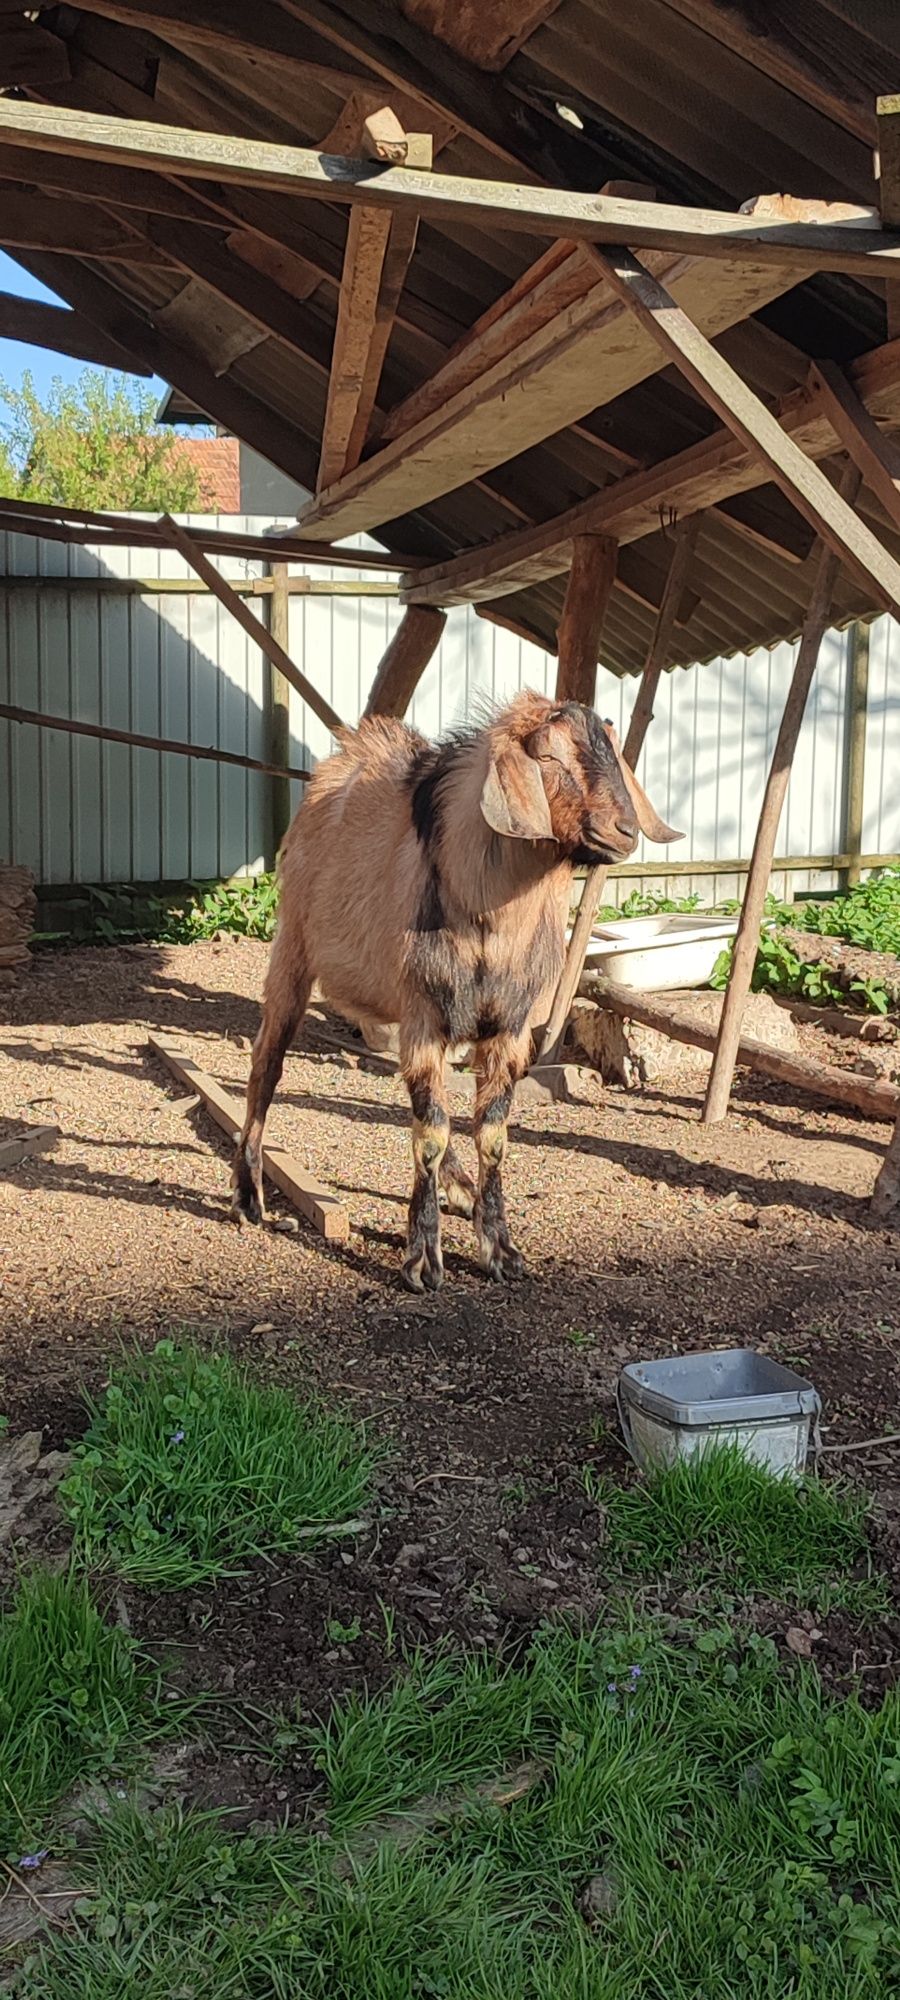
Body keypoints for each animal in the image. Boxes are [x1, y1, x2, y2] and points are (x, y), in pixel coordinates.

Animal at [229, 688, 680, 1288]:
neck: (488, 921)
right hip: (292, 952)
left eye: (612, 752)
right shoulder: (424, 1016)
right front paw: (422, 1260)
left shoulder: (508, 1028)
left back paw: (461, 1189)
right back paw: (248, 1196)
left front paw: (501, 1249)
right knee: (267, 1065)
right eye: (549, 756)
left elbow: (489, 1134)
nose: (624, 830)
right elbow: (430, 1135)